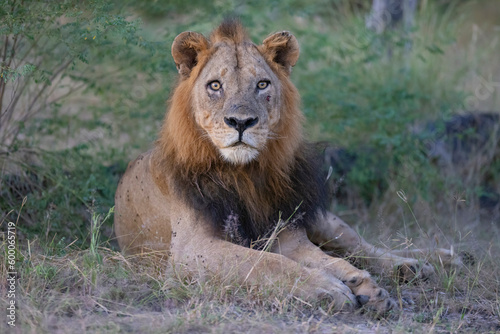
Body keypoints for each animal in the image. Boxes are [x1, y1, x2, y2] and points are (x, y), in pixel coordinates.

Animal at [115, 20, 466, 314]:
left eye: (262, 85)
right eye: (215, 85)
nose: (241, 122)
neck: (244, 174)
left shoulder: (287, 235)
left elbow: (321, 260)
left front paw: (361, 285)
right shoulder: (191, 249)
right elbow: (266, 263)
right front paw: (332, 288)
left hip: (321, 218)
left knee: (362, 246)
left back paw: (425, 263)